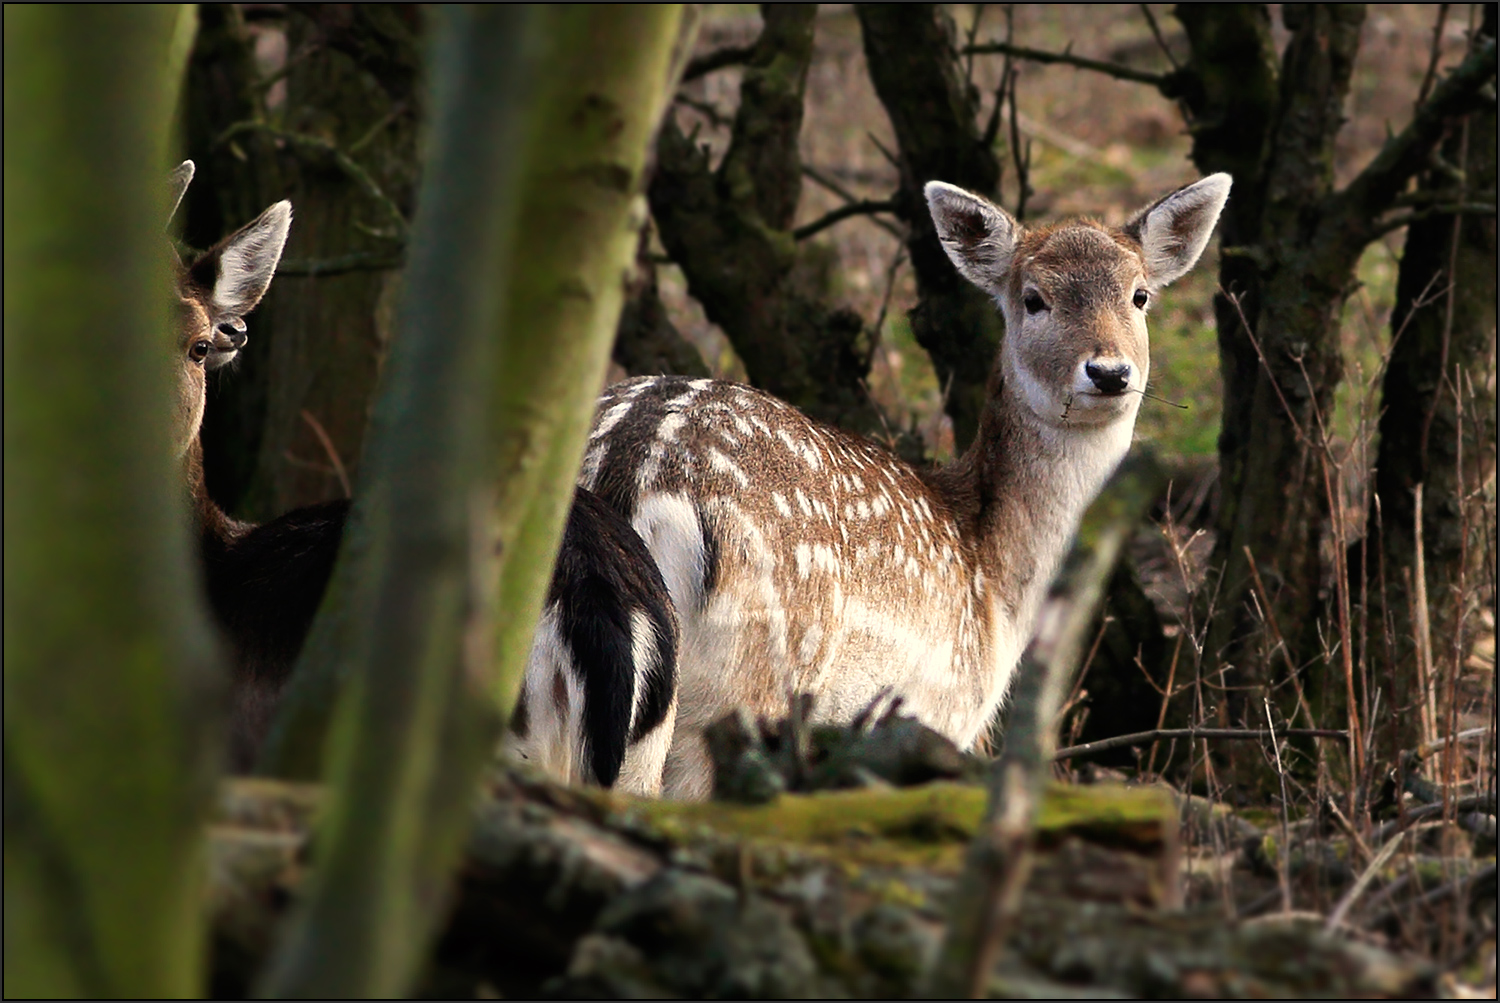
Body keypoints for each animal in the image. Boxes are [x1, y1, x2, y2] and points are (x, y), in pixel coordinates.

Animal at [576, 173, 1230, 797]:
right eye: (1034, 299)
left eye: (1140, 296)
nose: (1110, 371)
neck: (994, 584)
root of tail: (631, 470)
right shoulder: (937, 713)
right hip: (740, 685)